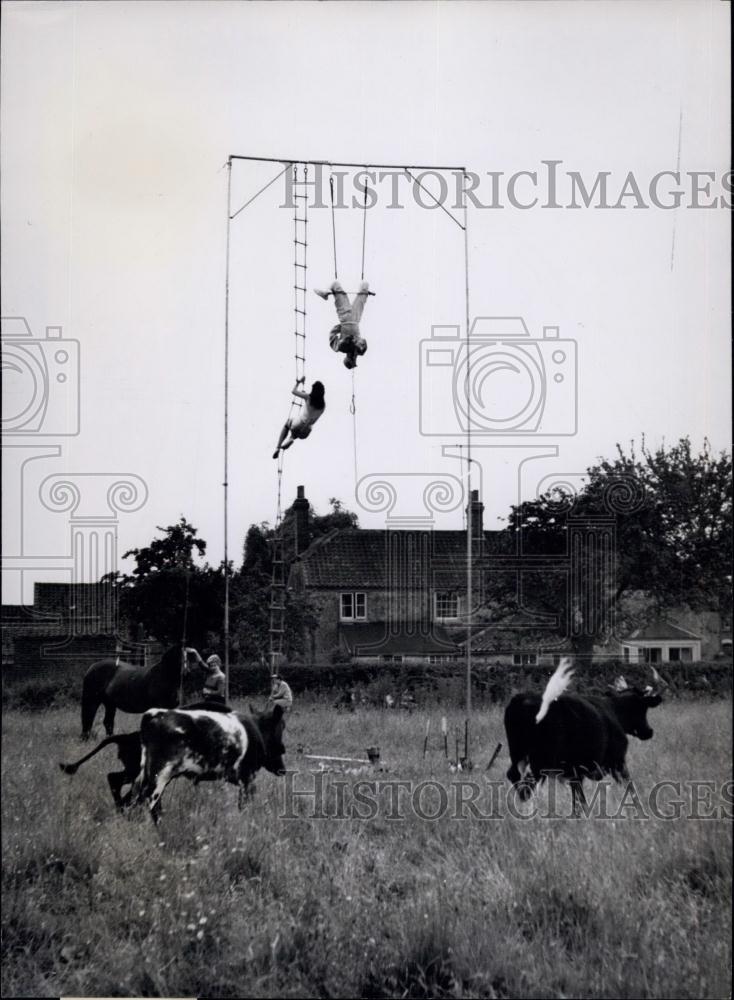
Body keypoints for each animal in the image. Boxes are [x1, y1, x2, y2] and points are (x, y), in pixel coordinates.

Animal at [506, 656, 668, 812]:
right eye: (642, 707)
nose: (649, 731)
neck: (613, 709)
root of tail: (523, 700)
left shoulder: (576, 772)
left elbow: (577, 799)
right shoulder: (617, 762)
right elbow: (629, 787)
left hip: (518, 754)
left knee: (515, 776)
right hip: (540, 760)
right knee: (529, 783)